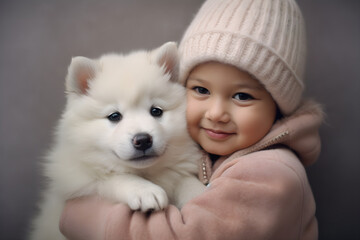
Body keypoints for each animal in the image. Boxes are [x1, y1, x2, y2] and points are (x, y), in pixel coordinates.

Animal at [28, 42, 205, 240]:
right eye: (114, 116)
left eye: (156, 111)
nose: (143, 140)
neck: (147, 173)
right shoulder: (80, 181)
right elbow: (113, 177)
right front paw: (145, 190)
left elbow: (183, 178)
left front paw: (198, 192)